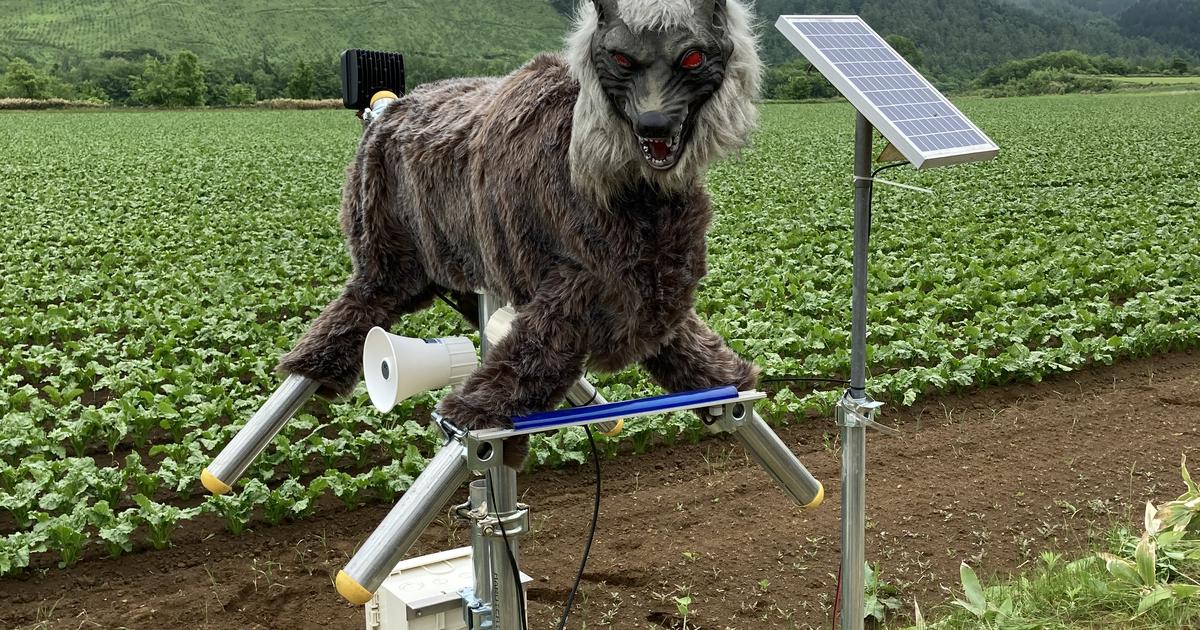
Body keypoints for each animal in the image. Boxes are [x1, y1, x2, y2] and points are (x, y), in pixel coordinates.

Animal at [279, 0, 765, 466]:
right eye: (623, 59)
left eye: (693, 57)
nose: (654, 123)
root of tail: (385, 111)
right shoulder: (571, 292)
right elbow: (531, 361)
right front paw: (472, 417)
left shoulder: (650, 294)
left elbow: (688, 348)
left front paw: (731, 379)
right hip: (386, 248)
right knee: (361, 302)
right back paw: (312, 363)